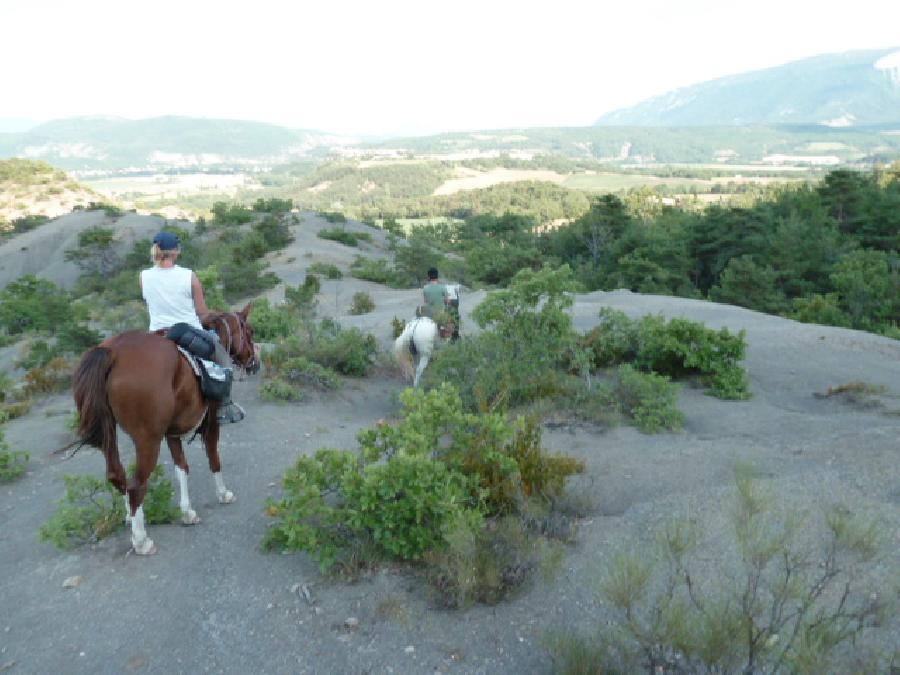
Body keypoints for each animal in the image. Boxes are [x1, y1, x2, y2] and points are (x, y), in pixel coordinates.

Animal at [72, 304, 258, 556]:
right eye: (249, 331)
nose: (254, 363)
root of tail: (113, 352)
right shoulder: (211, 423)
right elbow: (214, 459)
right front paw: (223, 494)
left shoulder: (172, 432)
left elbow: (182, 468)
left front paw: (187, 512)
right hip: (148, 439)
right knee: (136, 485)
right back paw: (141, 541)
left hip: (111, 433)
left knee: (117, 475)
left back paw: (131, 519)